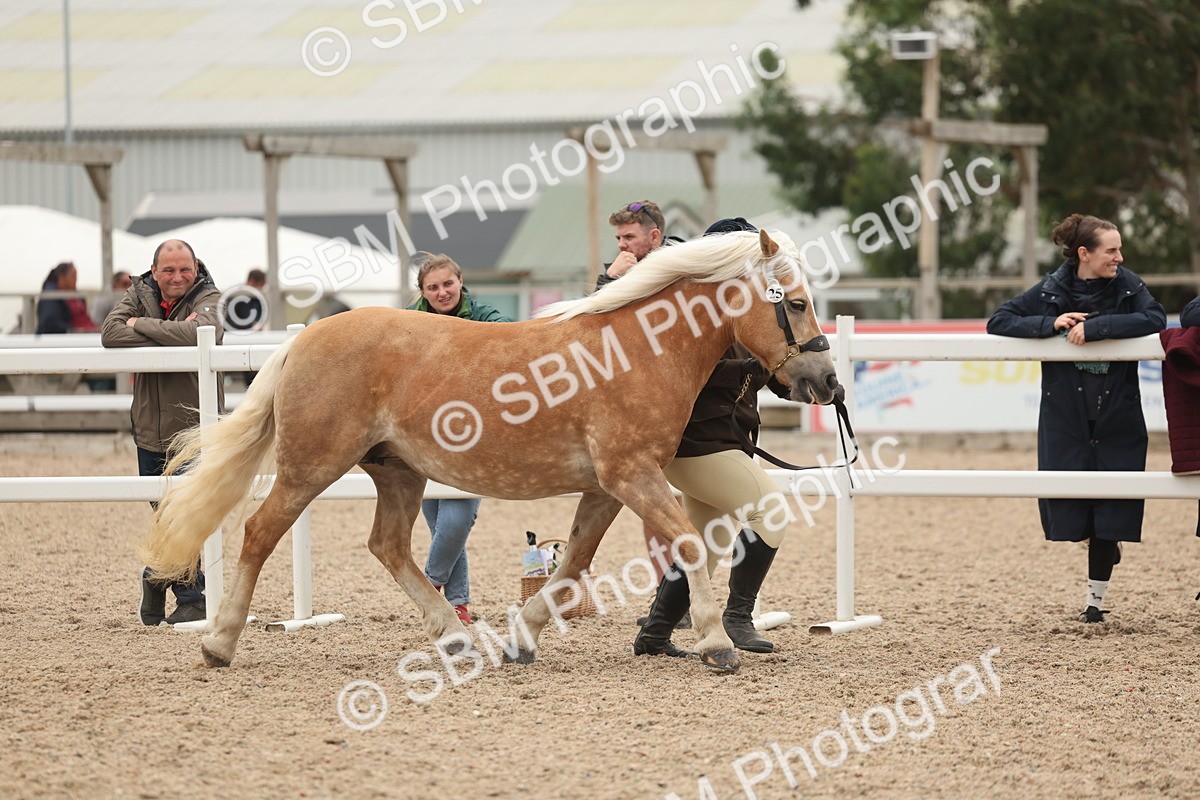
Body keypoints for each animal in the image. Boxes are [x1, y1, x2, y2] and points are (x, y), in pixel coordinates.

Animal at [144, 229, 839, 673]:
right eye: (799, 303)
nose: (826, 382)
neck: (640, 348)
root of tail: (304, 338)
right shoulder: (632, 476)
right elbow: (688, 546)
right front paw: (717, 643)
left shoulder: (607, 488)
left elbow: (572, 563)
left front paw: (522, 641)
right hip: (310, 467)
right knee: (261, 532)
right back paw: (219, 644)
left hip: (398, 473)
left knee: (388, 546)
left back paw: (454, 639)